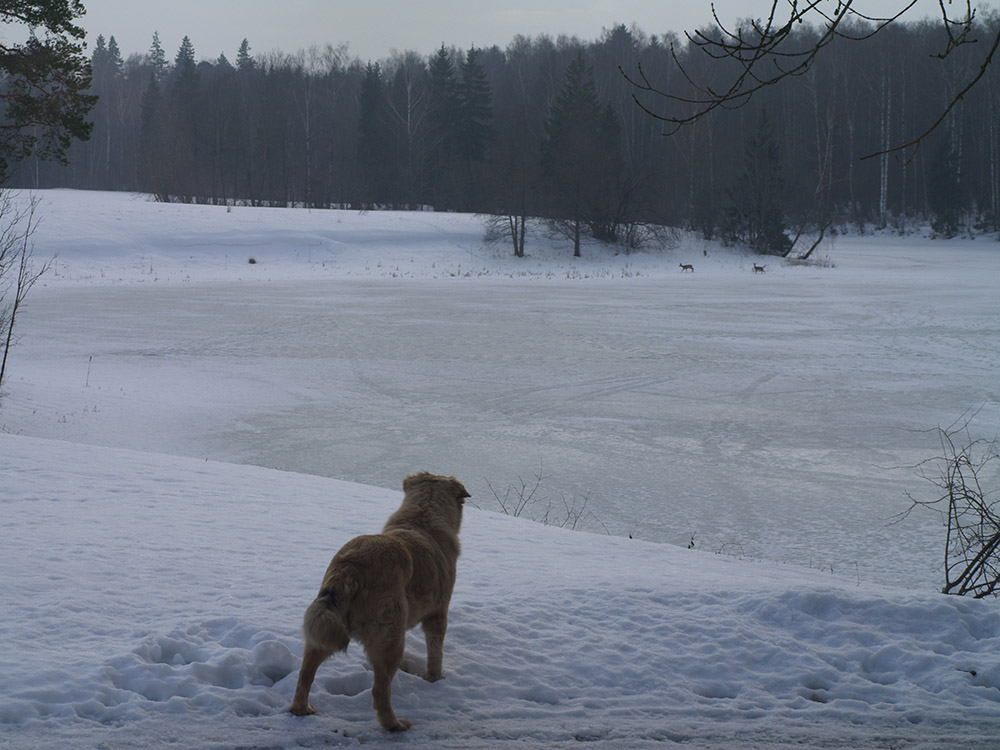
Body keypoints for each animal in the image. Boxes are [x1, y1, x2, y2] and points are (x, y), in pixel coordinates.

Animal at [288, 472, 469, 731]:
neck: (422, 517)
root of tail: (352, 564)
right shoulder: (438, 615)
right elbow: (436, 653)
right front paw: (435, 680)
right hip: (390, 639)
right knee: (380, 692)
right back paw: (394, 724)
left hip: (323, 629)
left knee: (305, 676)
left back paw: (300, 709)